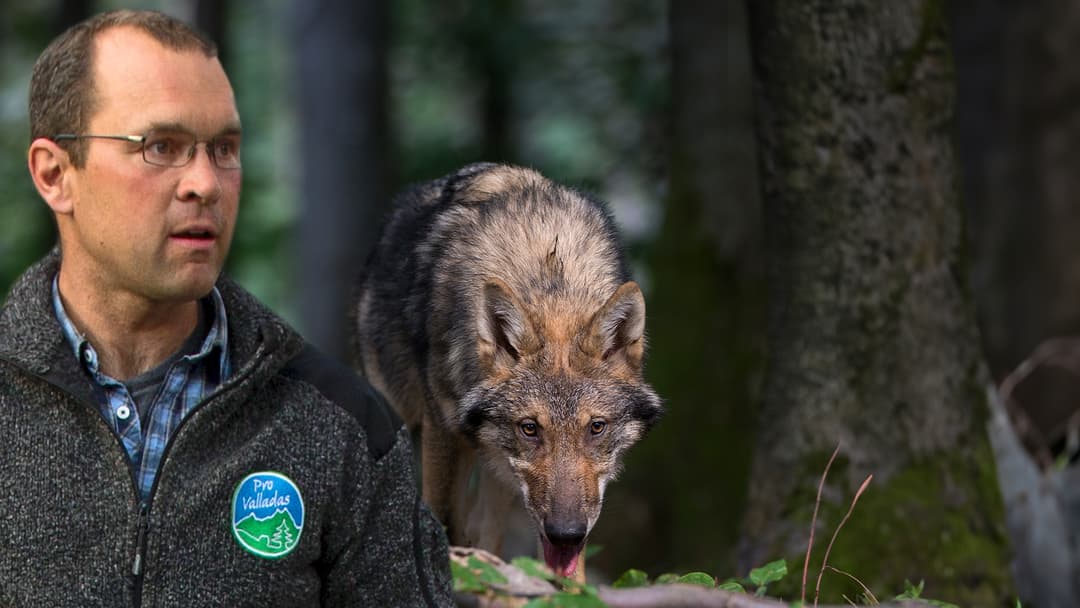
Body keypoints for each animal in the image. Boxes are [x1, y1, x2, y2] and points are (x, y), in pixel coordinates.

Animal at [352, 163, 662, 578]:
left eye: (597, 427)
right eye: (529, 428)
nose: (566, 533)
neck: (550, 279)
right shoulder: (442, 432)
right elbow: (443, 522)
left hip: (500, 479)